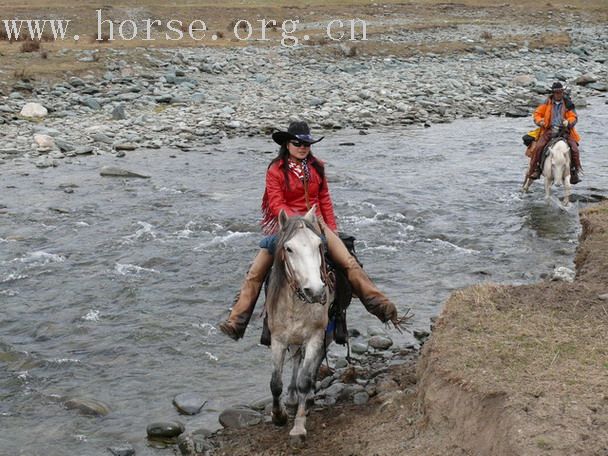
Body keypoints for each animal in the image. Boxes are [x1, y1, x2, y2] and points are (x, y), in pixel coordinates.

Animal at [264, 208, 334, 444]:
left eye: (318, 244)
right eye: (289, 248)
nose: (316, 291)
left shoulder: (315, 336)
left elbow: (305, 378)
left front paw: (298, 428)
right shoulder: (277, 338)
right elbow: (275, 382)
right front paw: (279, 416)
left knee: (313, 362)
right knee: (296, 358)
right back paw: (293, 398)